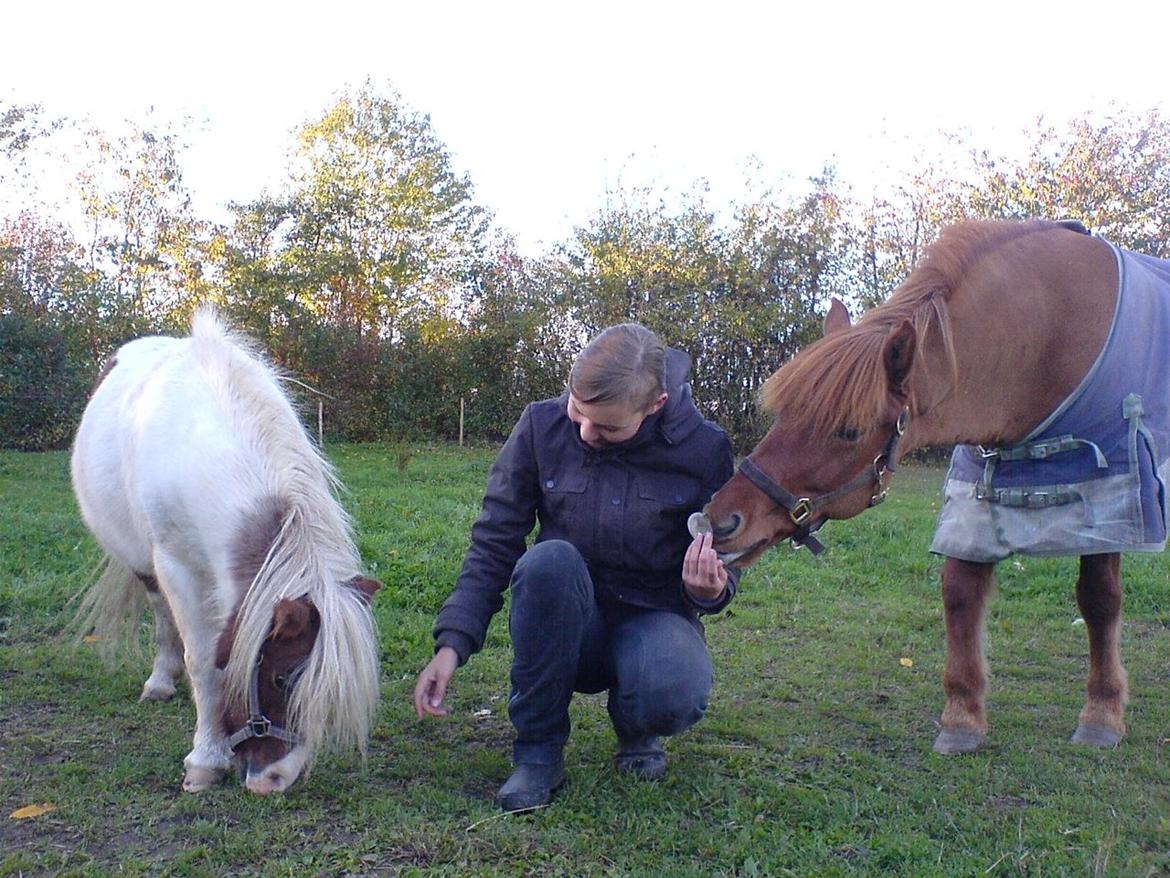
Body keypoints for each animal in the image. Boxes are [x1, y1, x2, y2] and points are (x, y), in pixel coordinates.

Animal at [70, 311, 381, 796]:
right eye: (281, 678)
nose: (274, 780)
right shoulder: (177, 567)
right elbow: (202, 660)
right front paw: (206, 758)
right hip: (145, 566)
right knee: (163, 618)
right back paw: (162, 680)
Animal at [692, 220, 1170, 758]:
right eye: (784, 413)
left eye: (849, 430)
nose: (721, 520)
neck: (1047, 342)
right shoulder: (973, 497)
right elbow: (960, 595)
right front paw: (963, 716)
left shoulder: (1110, 500)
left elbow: (1100, 600)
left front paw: (1103, 712)